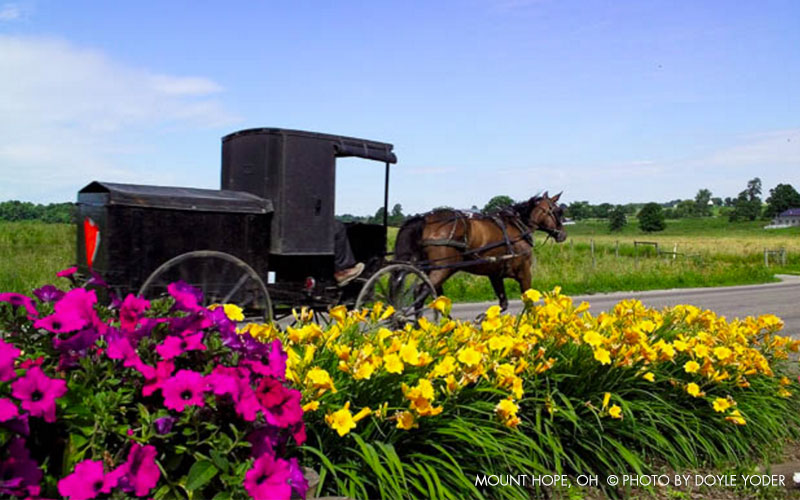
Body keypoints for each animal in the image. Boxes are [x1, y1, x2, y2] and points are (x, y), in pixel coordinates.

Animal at [396, 191, 564, 308]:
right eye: (557, 211)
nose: (563, 234)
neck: (517, 227)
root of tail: (424, 219)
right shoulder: (524, 273)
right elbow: (528, 303)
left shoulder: (495, 274)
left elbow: (503, 304)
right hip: (443, 269)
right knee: (421, 291)